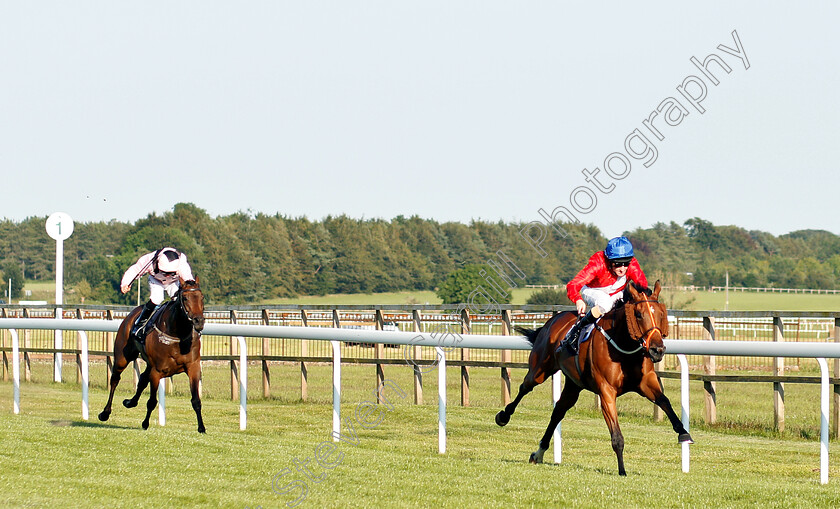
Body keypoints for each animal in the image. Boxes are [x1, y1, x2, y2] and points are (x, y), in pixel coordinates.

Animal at [95, 276, 205, 430]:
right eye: (185, 298)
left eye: (202, 297)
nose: (199, 321)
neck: (177, 336)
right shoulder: (157, 371)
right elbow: (152, 401)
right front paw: (145, 423)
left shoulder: (193, 367)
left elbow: (196, 400)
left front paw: (201, 428)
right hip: (123, 357)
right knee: (115, 379)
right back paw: (105, 413)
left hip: (148, 363)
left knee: (142, 379)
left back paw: (130, 402)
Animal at [496, 280, 692, 474]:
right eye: (638, 314)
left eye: (661, 314)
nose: (657, 350)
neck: (624, 347)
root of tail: (552, 321)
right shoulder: (606, 391)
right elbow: (617, 436)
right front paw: (622, 470)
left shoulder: (646, 382)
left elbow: (664, 401)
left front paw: (683, 433)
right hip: (540, 369)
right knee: (525, 387)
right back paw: (503, 416)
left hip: (574, 384)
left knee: (559, 410)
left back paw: (538, 453)